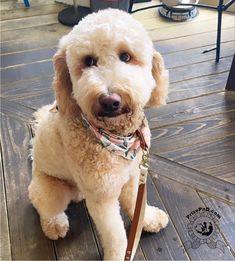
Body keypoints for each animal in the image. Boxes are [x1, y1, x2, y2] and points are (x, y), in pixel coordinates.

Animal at [28, 8, 169, 260]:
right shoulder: (102, 198)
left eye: (126, 56)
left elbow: (137, 205)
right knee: (45, 208)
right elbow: (116, 235)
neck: (118, 137)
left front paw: (148, 220)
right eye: (88, 61)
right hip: (50, 189)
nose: (110, 100)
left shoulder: (133, 176)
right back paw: (55, 225)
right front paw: (119, 254)